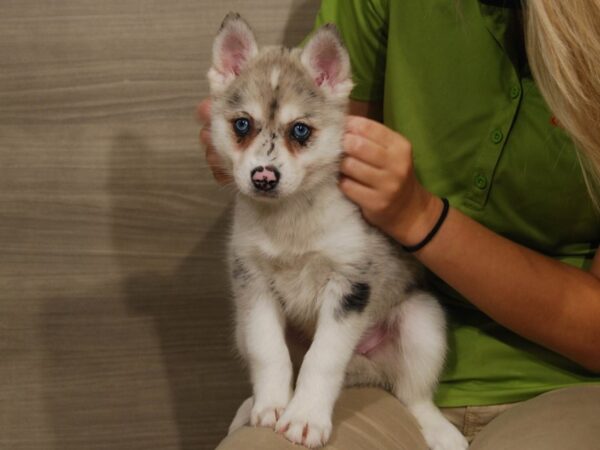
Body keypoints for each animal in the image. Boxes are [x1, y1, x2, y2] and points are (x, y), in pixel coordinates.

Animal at [209, 13, 466, 450]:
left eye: (300, 130)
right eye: (242, 124)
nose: (263, 178)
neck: (290, 219)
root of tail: (363, 369)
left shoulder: (350, 285)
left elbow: (322, 358)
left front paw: (305, 417)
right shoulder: (252, 284)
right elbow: (268, 351)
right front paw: (272, 405)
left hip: (422, 321)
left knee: (412, 394)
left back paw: (439, 430)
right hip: (240, 324)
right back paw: (249, 405)